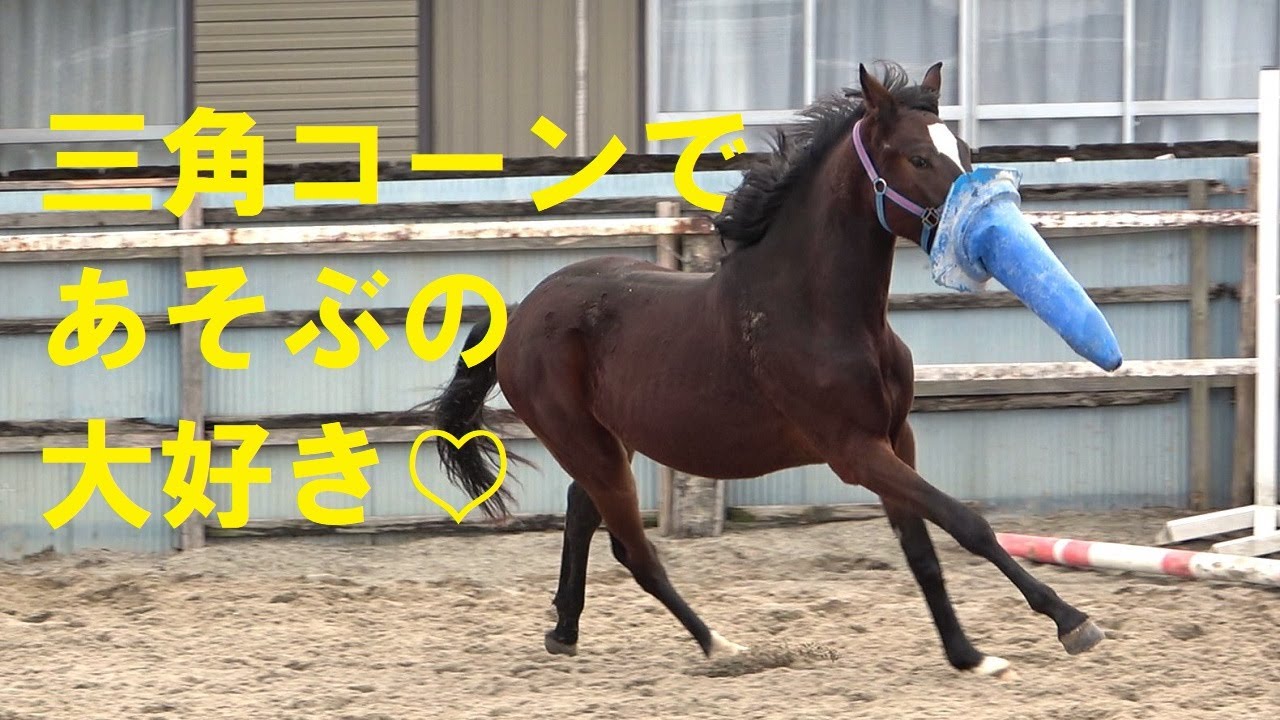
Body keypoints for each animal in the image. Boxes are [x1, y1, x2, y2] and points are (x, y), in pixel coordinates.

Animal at [418, 61, 1108, 679]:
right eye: (917, 159)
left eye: (964, 151)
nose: (980, 229)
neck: (824, 315)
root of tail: (519, 314)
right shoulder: (855, 452)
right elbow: (968, 524)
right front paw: (1070, 622)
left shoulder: (896, 439)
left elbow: (922, 551)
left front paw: (966, 655)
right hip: (585, 443)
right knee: (633, 549)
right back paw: (721, 646)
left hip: (611, 441)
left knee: (584, 515)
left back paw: (564, 630)